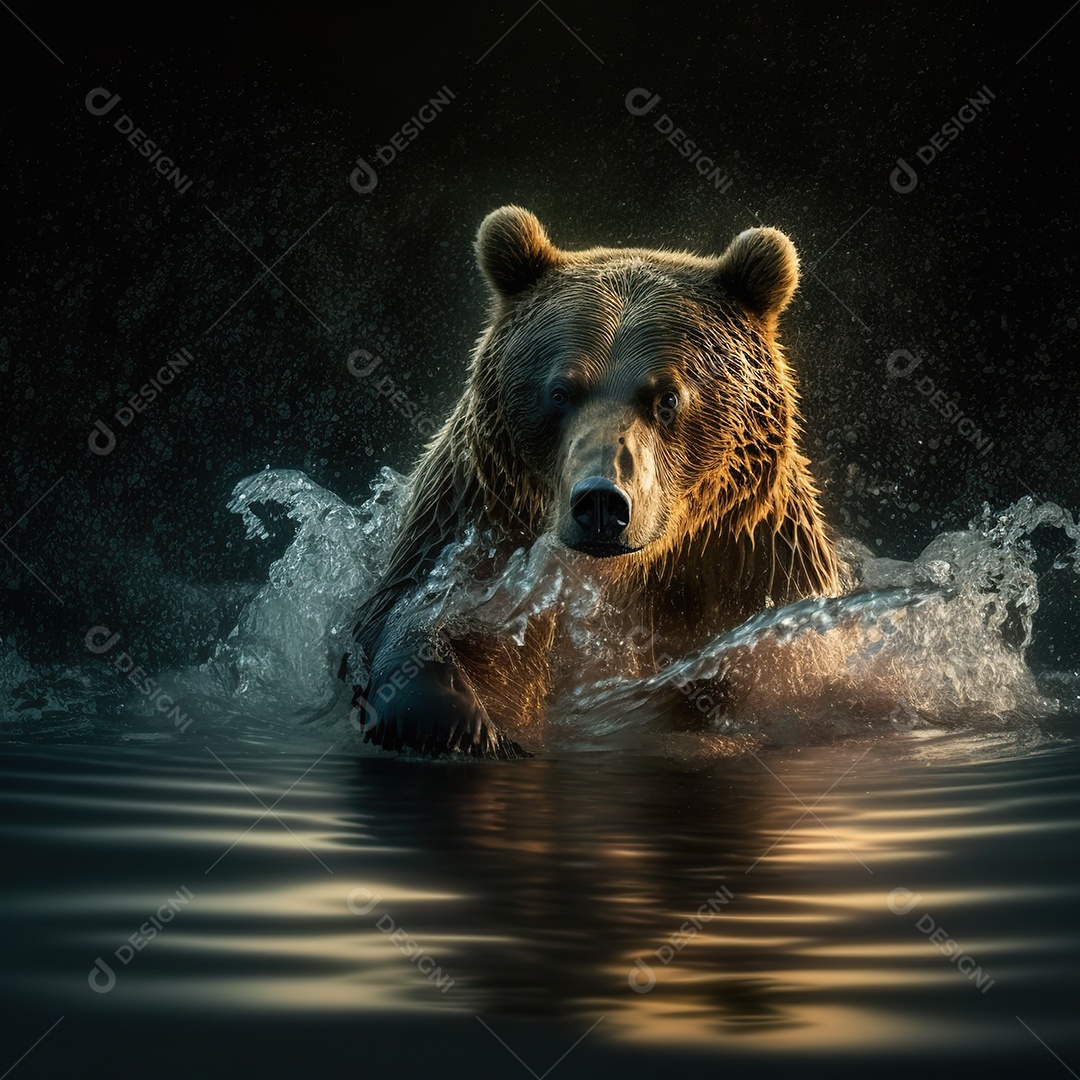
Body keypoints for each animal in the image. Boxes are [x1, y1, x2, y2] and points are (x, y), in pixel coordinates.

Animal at [351, 205, 840, 758]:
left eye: (668, 397)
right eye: (560, 391)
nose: (602, 502)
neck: (619, 579)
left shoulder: (751, 562)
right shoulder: (474, 533)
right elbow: (427, 624)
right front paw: (461, 723)